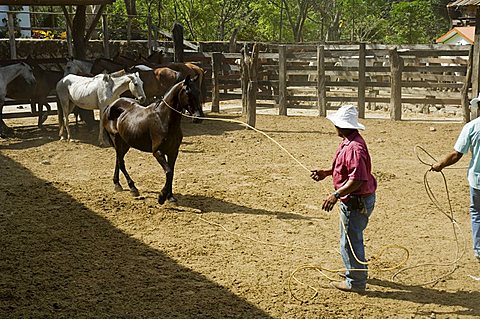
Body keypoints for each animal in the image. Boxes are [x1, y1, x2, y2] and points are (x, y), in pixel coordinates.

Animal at [102, 75, 202, 205]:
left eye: (198, 91)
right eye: (188, 92)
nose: (198, 117)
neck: (163, 119)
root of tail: (110, 106)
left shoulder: (173, 151)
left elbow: (171, 172)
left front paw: (170, 197)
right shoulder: (157, 152)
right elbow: (168, 172)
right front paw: (161, 197)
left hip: (125, 143)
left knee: (118, 161)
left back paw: (117, 184)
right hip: (118, 141)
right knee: (121, 163)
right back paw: (133, 188)